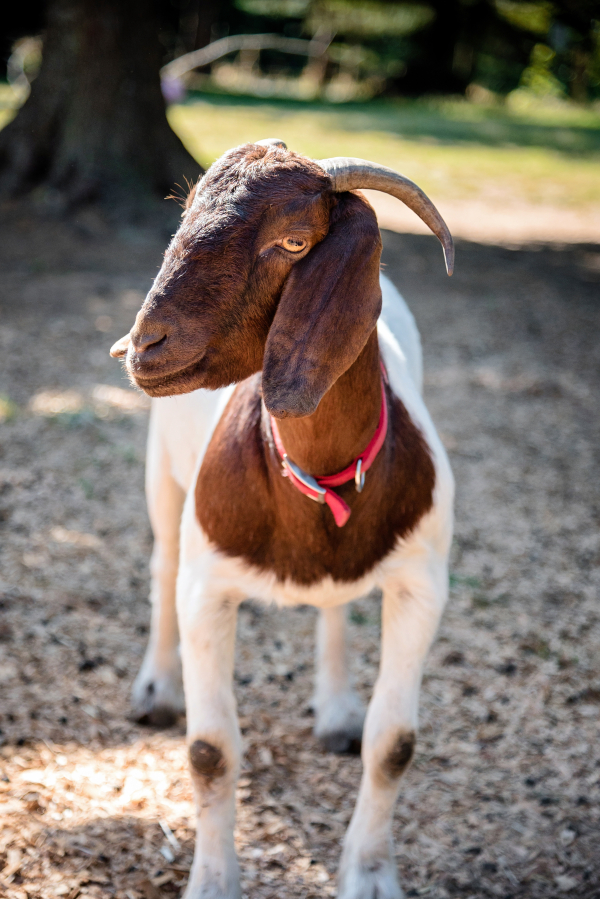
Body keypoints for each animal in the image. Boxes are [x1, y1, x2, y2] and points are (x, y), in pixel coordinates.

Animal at [111, 141, 454, 899]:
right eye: (186, 211)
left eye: (295, 241)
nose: (145, 345)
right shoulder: (209, 590)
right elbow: (209, 751)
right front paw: (213, 882)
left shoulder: (421, 586)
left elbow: (395, 745)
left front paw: (371, 874)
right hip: (161, 472)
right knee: (161, 564)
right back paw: (156, 688)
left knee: (334, 607)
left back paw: (336, 708)